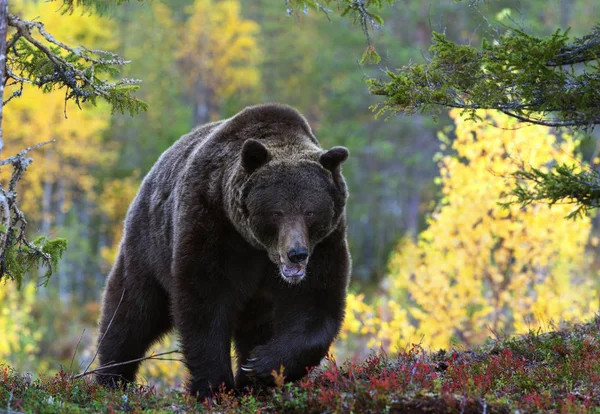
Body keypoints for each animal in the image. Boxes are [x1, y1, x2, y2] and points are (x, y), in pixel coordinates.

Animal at [95, 102, 350, 398]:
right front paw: (215, 387)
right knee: (131, 313)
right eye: (276, 211)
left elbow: (316, 307)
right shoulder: (213, 227)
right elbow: (205, 304)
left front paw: (258, 366)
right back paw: (111, 379)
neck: (258, 248)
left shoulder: (325, 246)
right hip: (148, 248)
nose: (296, 253)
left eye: (310, 211)